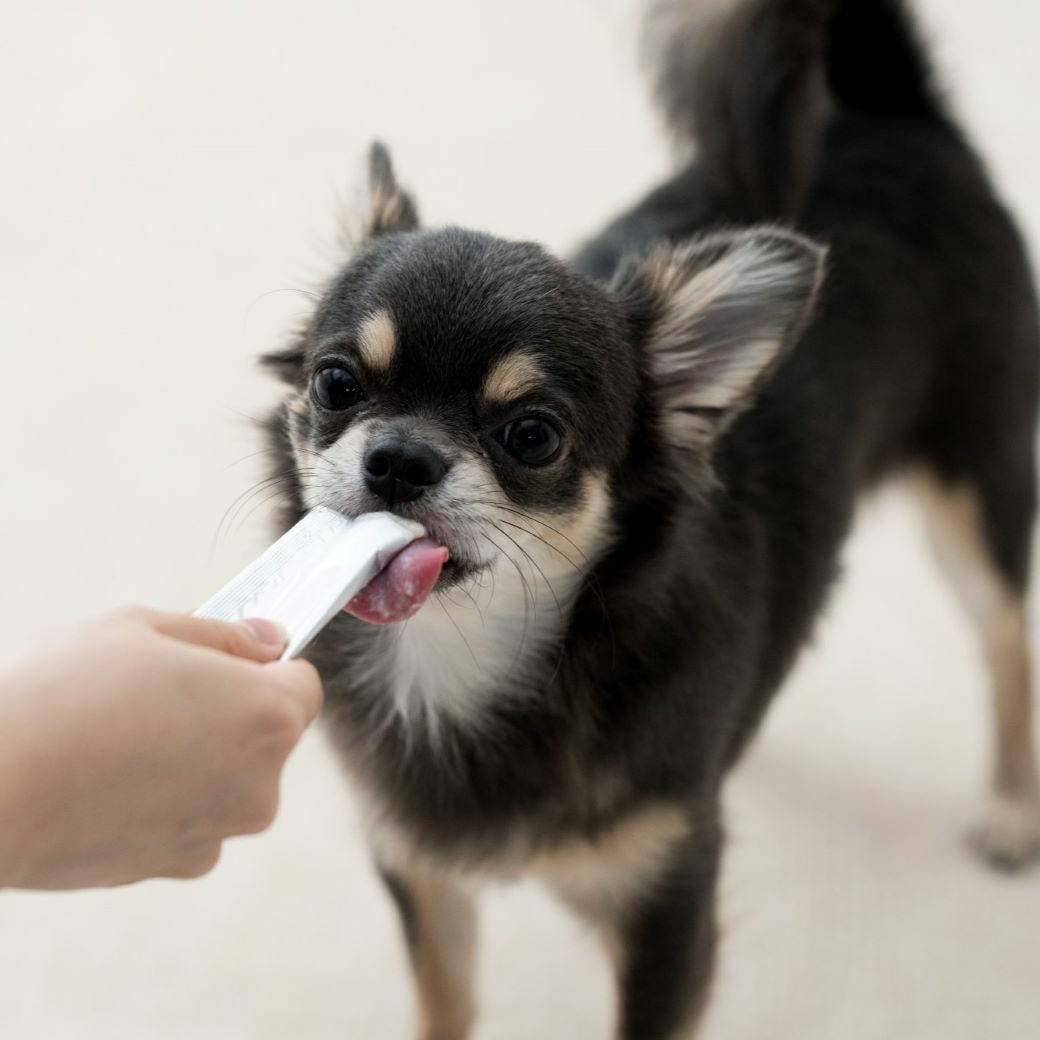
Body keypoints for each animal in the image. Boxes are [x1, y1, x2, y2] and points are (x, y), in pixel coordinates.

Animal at [261, 1, 1040, 1036]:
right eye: (336, 384)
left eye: (533, 436)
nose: (398, 459)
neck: (467, 667)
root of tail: (892, 109)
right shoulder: (423, 872)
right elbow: (445, 1005)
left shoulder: (669, 909)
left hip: (975, 488)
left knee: (1007, 636)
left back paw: (1014, 810)